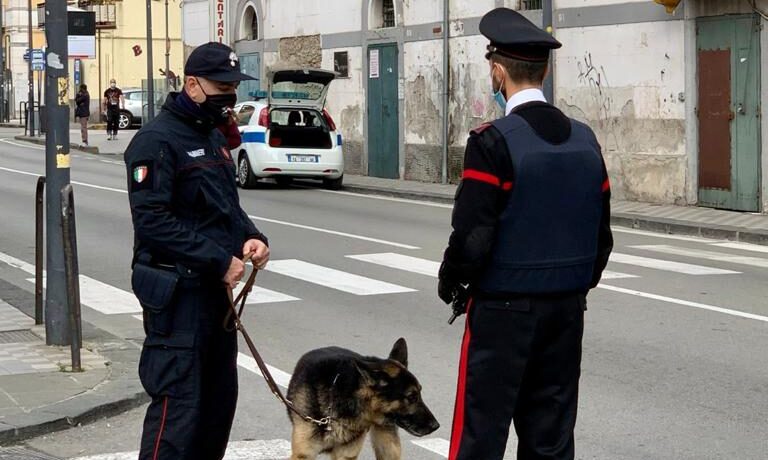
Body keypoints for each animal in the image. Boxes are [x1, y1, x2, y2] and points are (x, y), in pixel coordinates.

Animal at [286, 338, 444, 460]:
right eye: (411, 397)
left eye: (420, 393)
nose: (435, 426)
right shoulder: (303, 455)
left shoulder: (346, 455)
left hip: (388, 447)